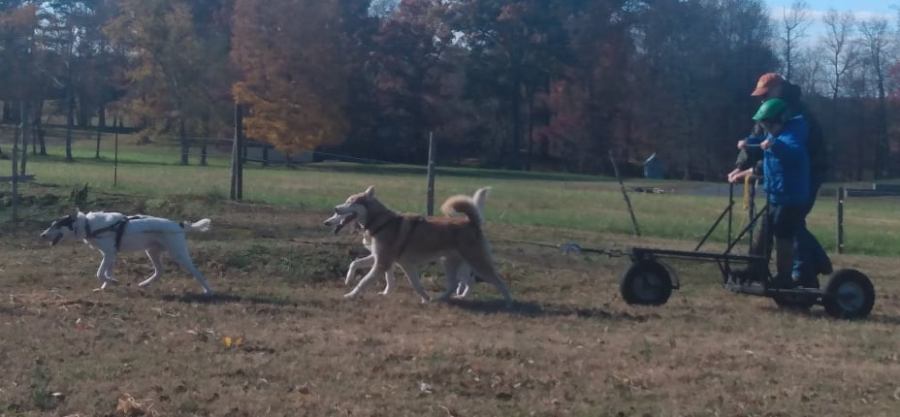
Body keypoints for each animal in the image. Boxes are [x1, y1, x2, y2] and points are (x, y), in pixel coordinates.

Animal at [40, 210, 214, 294]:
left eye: (57, 225)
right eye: (52, 224)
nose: (42, 235)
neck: (88, 225)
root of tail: (179, 224)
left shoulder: (109, 254)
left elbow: (100, 273)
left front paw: (112, 282)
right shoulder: (111, 254)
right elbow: (106, 273)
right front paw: (107, 285)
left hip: (178, 254)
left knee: (197, 272)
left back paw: (208, 291)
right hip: (152, 252)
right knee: (159, 272)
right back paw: (144, 284)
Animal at [323, 186, 512, 305]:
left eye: (351, 202)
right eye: (346, 201)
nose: (336, 208)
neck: (381, 223)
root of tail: (472, 222)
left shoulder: (383, 261)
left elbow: (364, 281)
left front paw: (350, 295)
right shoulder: (398, 262)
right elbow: (415, 284)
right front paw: (425, 299)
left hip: (477, 262)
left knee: (498, 281)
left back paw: (508, 303)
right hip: (449, 262)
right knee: (454, 284)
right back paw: (441, 299)